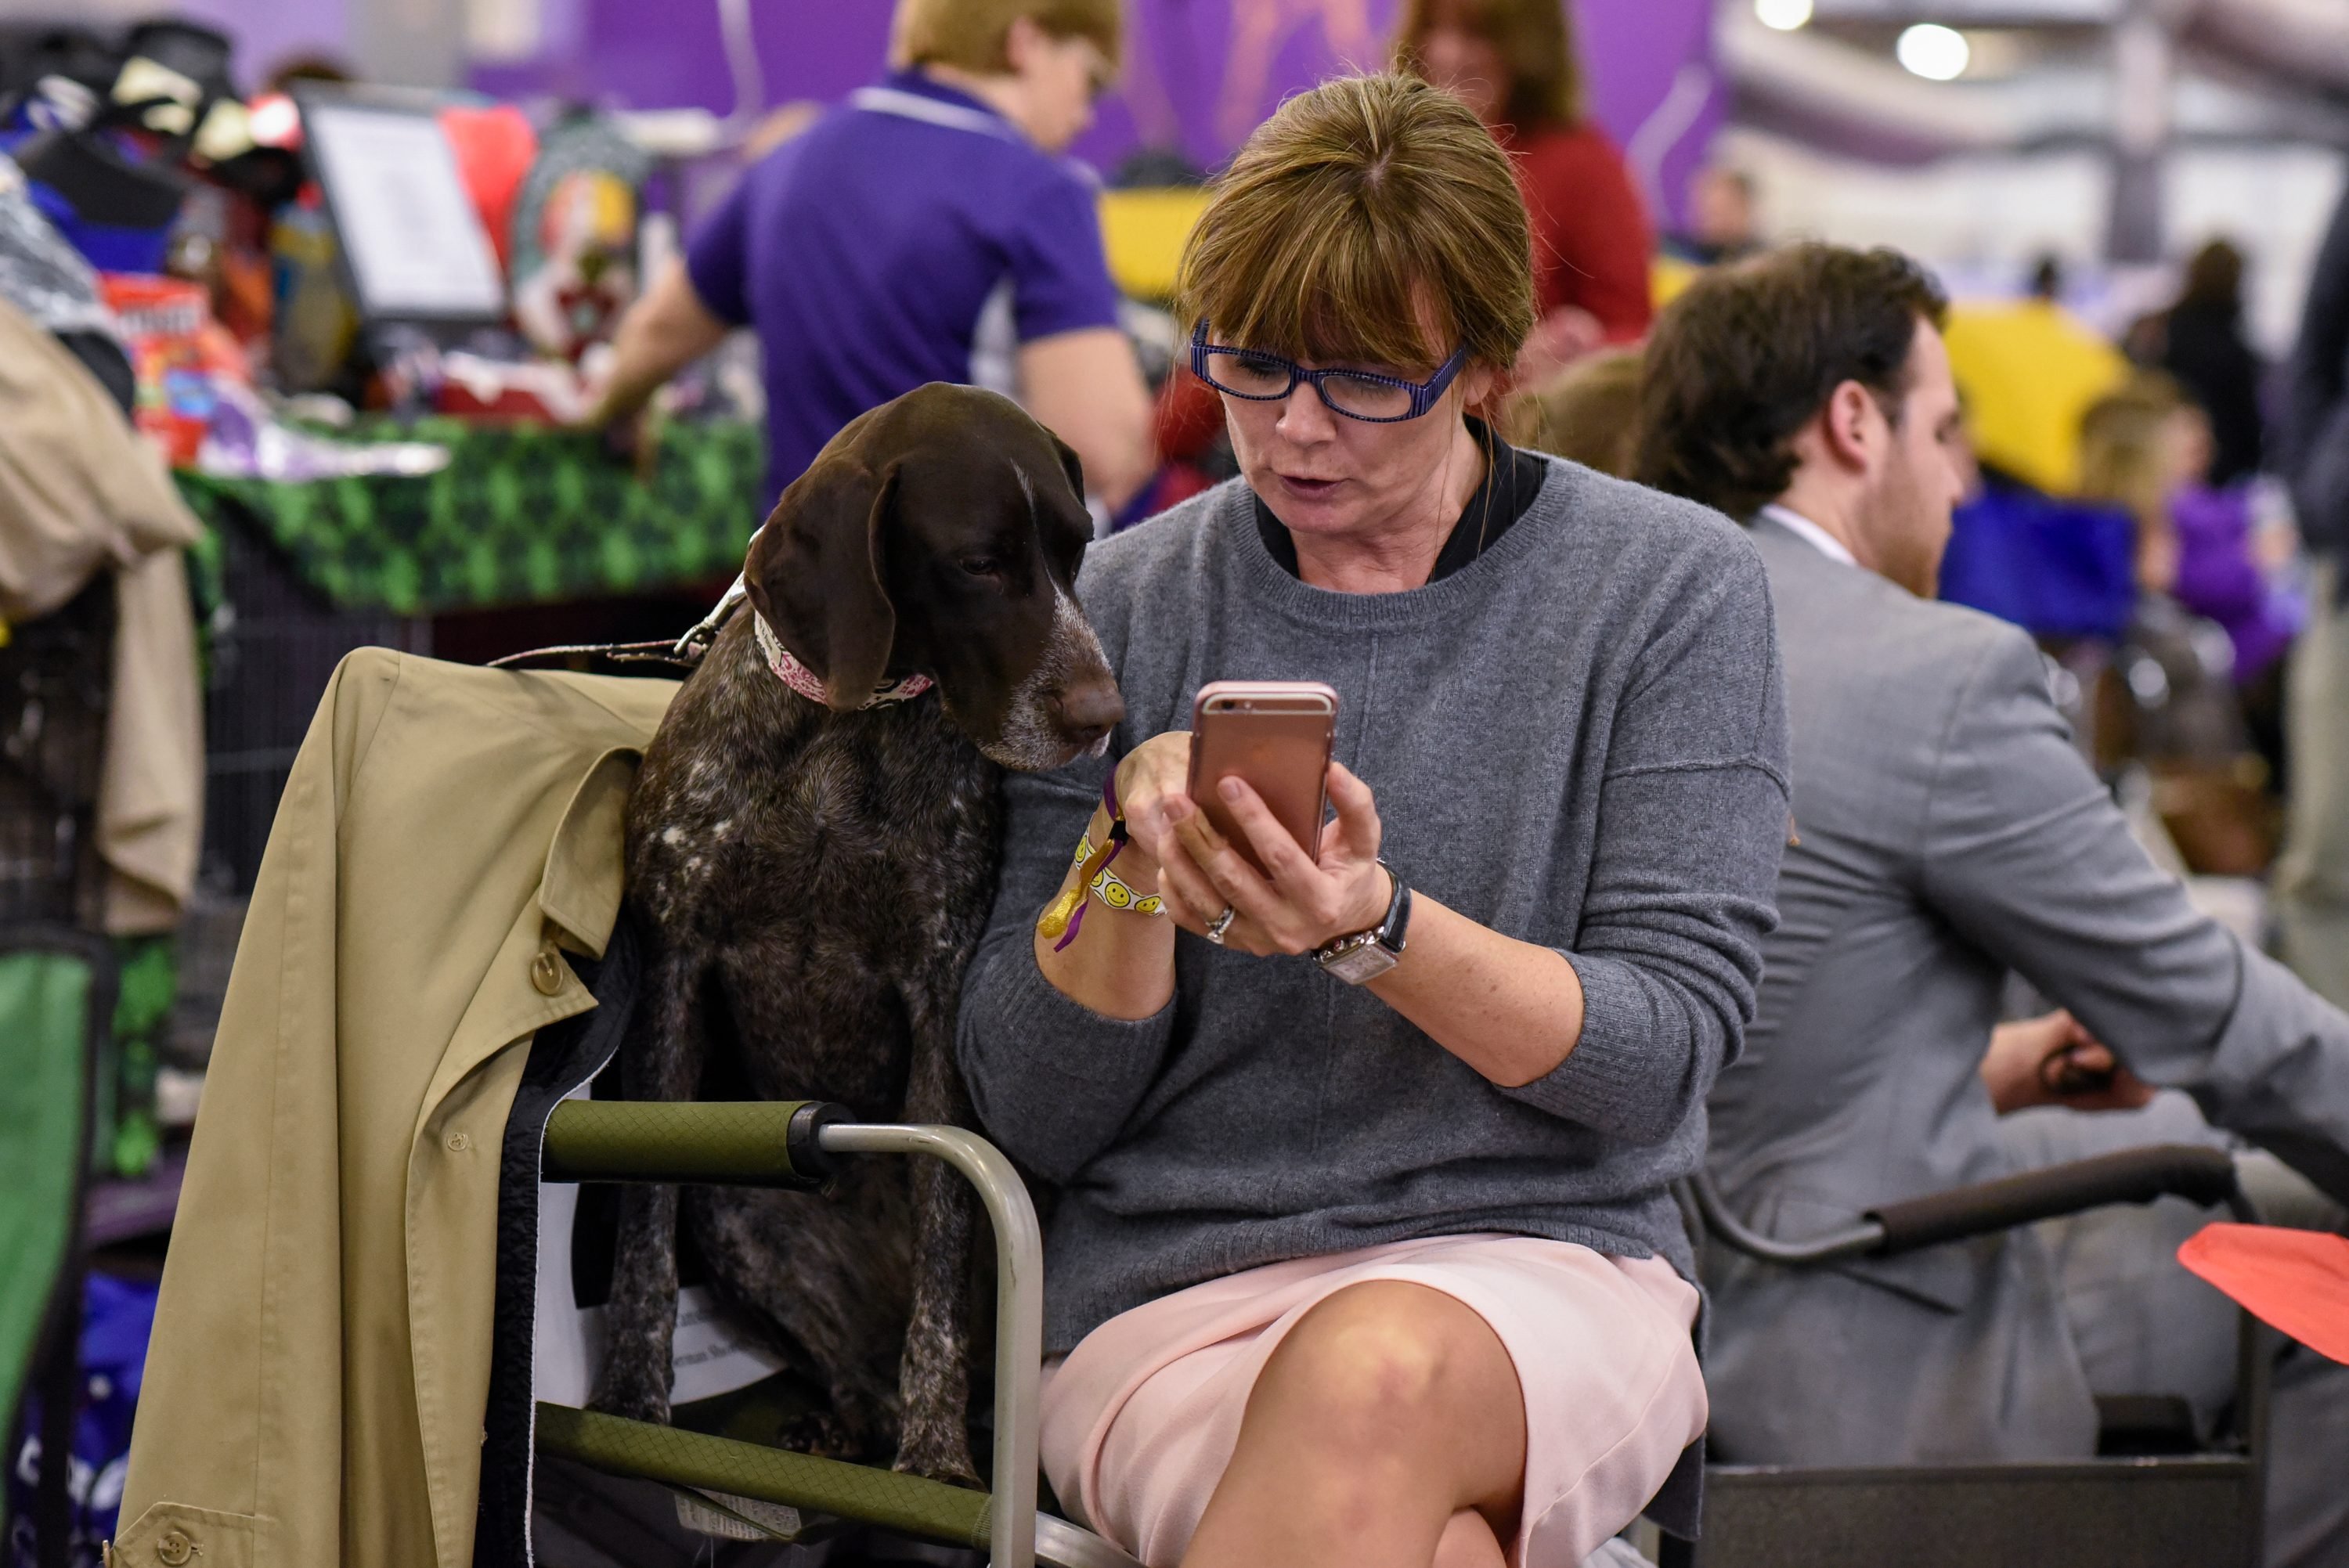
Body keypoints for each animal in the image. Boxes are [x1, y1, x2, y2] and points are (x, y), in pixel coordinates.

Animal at [601, 382, 1123, 1483]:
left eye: (1078, 549)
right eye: (980, 562)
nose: (1106, 710)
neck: (846, 729)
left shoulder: (937, 992)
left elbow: (946, 1240)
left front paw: (935, 1458)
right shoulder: (674, 970)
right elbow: (642, 1224)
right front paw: (630, 1399)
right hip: (740, 1208)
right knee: (851, 1369)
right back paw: (841, 1424)